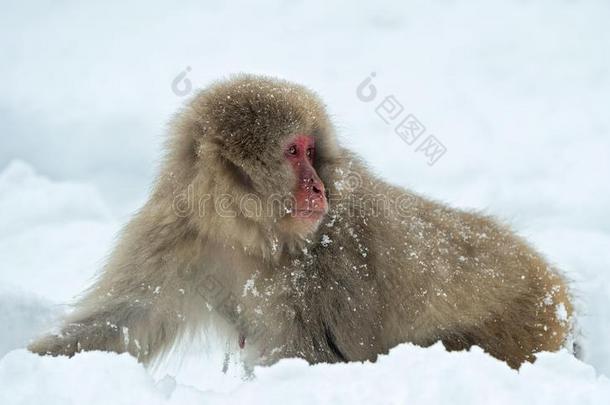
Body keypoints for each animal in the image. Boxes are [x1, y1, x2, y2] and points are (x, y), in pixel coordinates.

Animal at [28, 74, 568, 368]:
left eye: (311, 150)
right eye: (293, 152)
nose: (318, 189)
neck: (247, 234)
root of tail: (551, 282)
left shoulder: (333, 258)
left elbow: (314, 356)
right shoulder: (173, 235)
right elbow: (125, 321)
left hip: (524, 324)